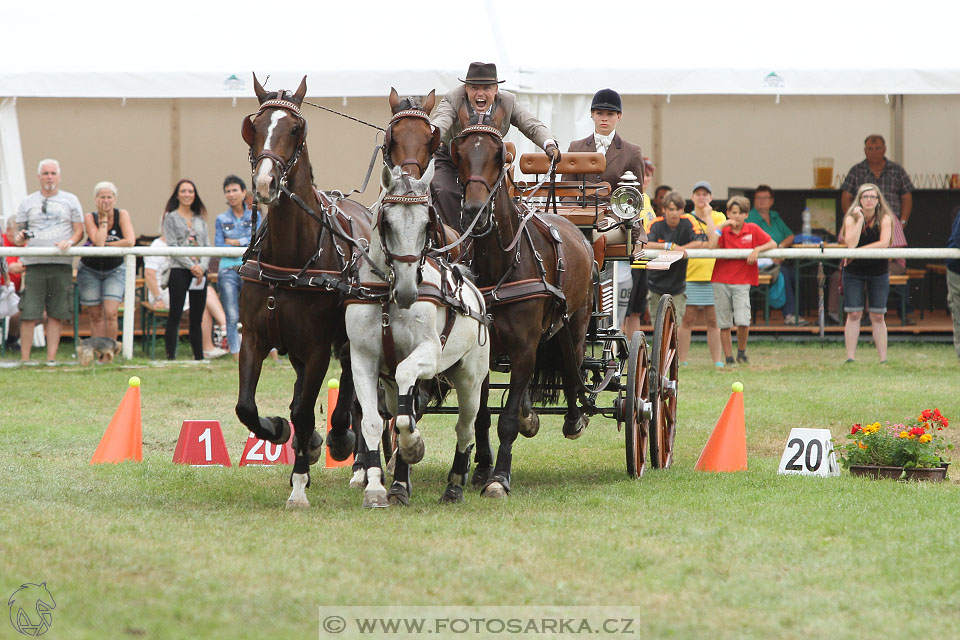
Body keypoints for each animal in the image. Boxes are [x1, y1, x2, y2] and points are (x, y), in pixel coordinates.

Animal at [234, 74, 370, 504]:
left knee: (355, 395)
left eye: (295, 129)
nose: (265, 182)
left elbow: (307, 409)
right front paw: (278, 431)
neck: (291, 256)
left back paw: (355, 455)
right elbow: (247, 406)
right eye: (255, 125)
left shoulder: (317, 348)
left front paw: (298, 484)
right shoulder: (255, 338)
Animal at [346, 161, 492, 510]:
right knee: (399, 410)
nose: (408, 291)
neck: (386, 297)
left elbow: (404, 392)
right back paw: (399, 485)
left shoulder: (427, 353)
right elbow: (374, 421)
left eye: (428, 222)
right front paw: (375, 488)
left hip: (470, 378)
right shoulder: (362, 360)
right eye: (387, 222)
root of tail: (475, 295)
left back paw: (454, 485)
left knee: (465, 428)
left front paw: (414, 447)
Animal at [450, 105, 592, 498]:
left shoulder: (525, 346)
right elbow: (482, 415)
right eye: (460, 155)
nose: (476, 210)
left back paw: (575, 417)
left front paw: (499, 478)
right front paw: (482, 467)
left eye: (498, 157)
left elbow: (508, 419)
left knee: (573, 366)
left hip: (576, 321)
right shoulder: (484, 350)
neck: (501, 264)